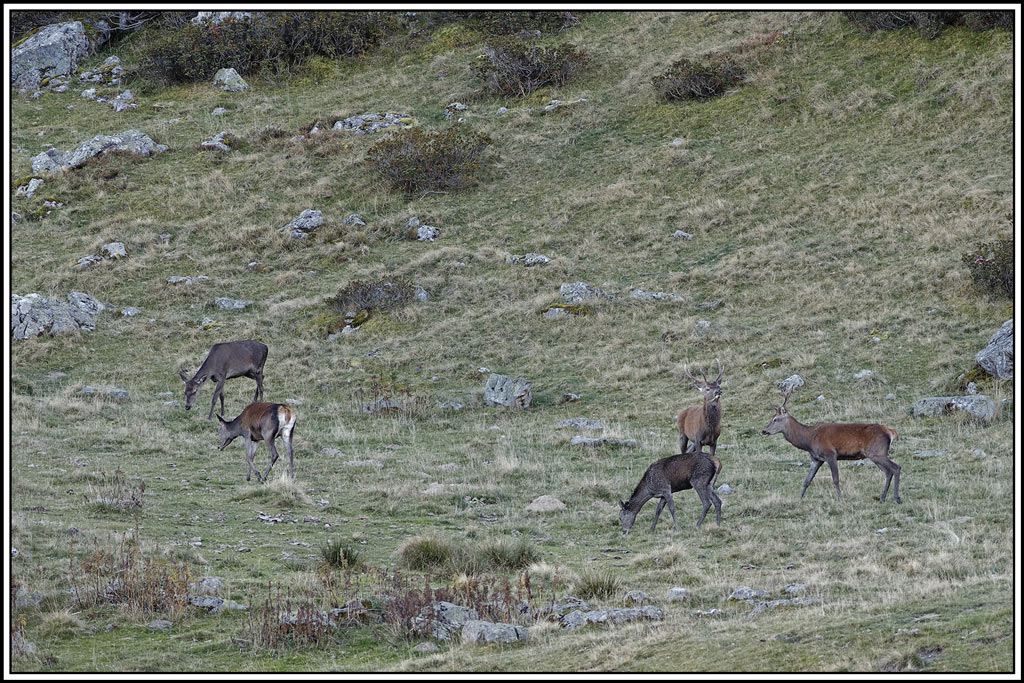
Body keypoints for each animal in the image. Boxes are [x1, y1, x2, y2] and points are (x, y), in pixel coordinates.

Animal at [761, 388, 902, 503]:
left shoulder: (831, 454)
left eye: (775, 419)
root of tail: (890, 431)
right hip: (875, 454)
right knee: (888, 472)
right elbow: (807, 480)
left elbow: (835, 479)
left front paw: (841, 499)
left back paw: (896, 498)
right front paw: (799, 499)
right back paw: (882, 499)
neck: (809, 440)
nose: (764, 431)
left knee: (896, 467)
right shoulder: (816, 459)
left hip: (877, 452)